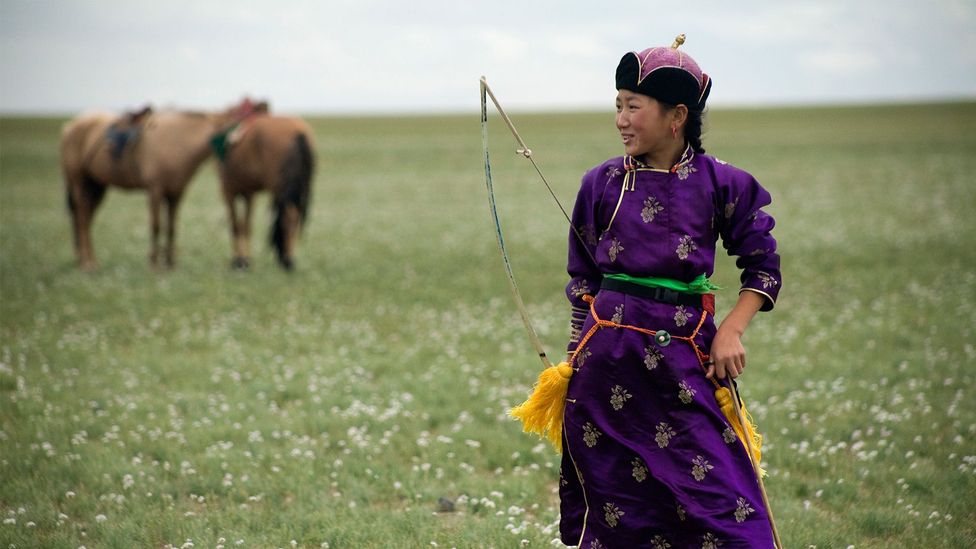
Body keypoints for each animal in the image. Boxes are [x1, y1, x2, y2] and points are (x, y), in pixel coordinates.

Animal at [62, 107, 236, 270]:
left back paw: (89, 260)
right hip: (80, 184)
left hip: (97, 187)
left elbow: (171, 227)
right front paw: (154, 263)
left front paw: (170, 263)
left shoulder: (176, 193)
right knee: (82, 218)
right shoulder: (155, 190)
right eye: (232, 131)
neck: (177, 142)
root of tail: (70, 126)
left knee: (86, 219)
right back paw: (87, 263)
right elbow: (156, 226)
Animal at [215, 115, 314, 270]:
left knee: (287, 216)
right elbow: (246, 225)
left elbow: (235, 226)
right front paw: (245, 260)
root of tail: (298, 132)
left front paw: (239, 261)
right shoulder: (248, 193)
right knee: (294, 215)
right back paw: (289, 259)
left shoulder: (228, 191)